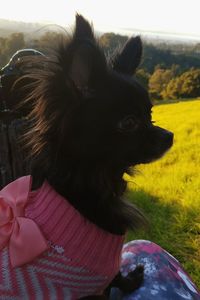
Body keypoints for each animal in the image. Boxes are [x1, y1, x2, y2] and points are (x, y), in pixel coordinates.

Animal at [17, 14, 173, 300]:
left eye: (150, 114)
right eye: (129, 122)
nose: (169, 136)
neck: (91, 185)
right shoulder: (101, 275)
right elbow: (117, 277)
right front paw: (134, 279)